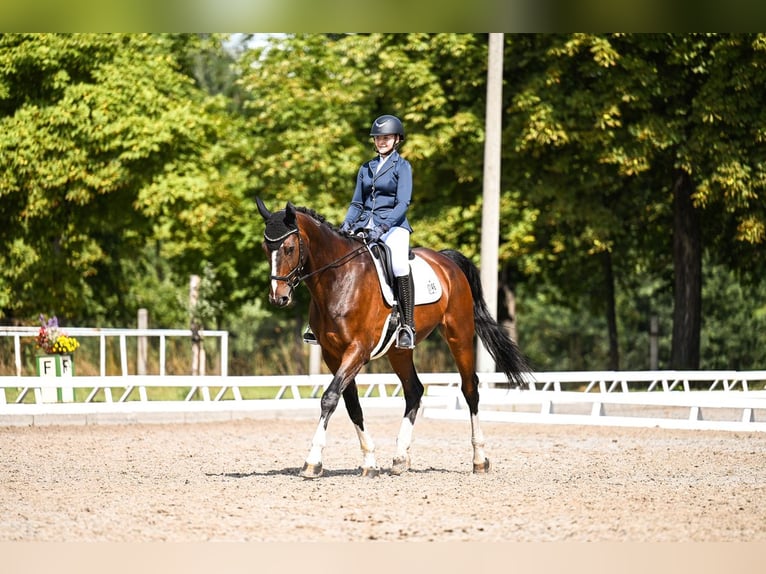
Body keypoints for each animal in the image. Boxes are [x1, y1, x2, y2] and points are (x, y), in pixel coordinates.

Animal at [256, 197, 530, 478]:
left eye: (289, 248)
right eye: (266, 248)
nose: (278, 298)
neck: (338, 280)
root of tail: (446, 260)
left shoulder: (358, 349)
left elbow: (330, 397)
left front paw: (312, 461)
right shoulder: (332, 354)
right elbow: (352, 404)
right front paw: (369, 462)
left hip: (459, 335)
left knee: (470, 388)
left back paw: (479, 459)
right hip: (399, 351)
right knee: (414, 390)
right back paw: (400, 458)